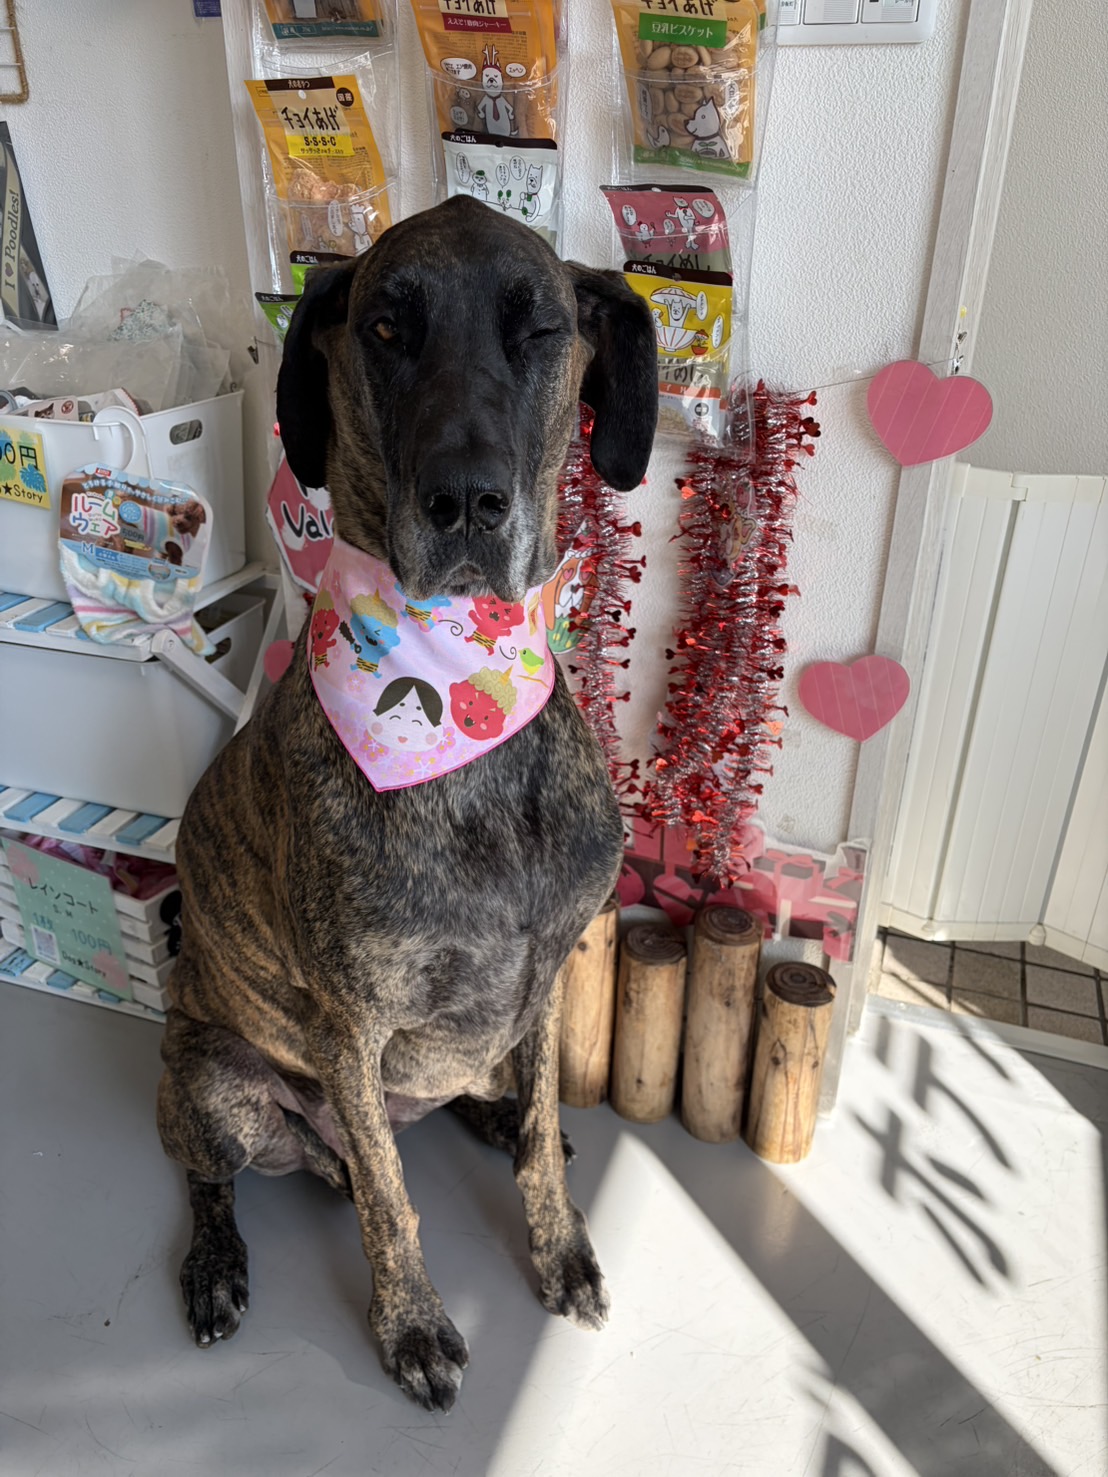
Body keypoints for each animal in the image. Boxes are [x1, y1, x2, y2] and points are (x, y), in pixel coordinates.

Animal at [156, 195, 658, 1411]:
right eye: (384, 327)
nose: (467, 500)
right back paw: (215, 1265)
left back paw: (493, 1114)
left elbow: (542, 1128)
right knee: (223, 1175)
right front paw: (416, 1326)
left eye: (541, 329)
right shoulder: (350, 1026)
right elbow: (391, 1202)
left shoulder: (548, 975)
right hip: (211, 1084)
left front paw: (561, 1243)